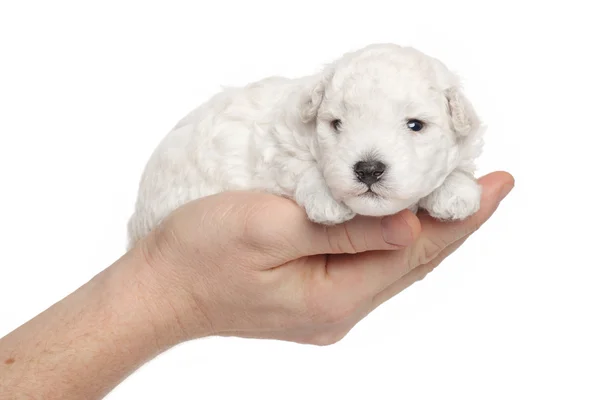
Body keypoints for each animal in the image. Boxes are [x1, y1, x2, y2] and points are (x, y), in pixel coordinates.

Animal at [125, 45, 482, 248]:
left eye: (415, 126)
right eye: (336, 124)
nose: (368, 170)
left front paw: (456, 193)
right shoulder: (278, 144)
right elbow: (301, 168)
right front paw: (327, 201)